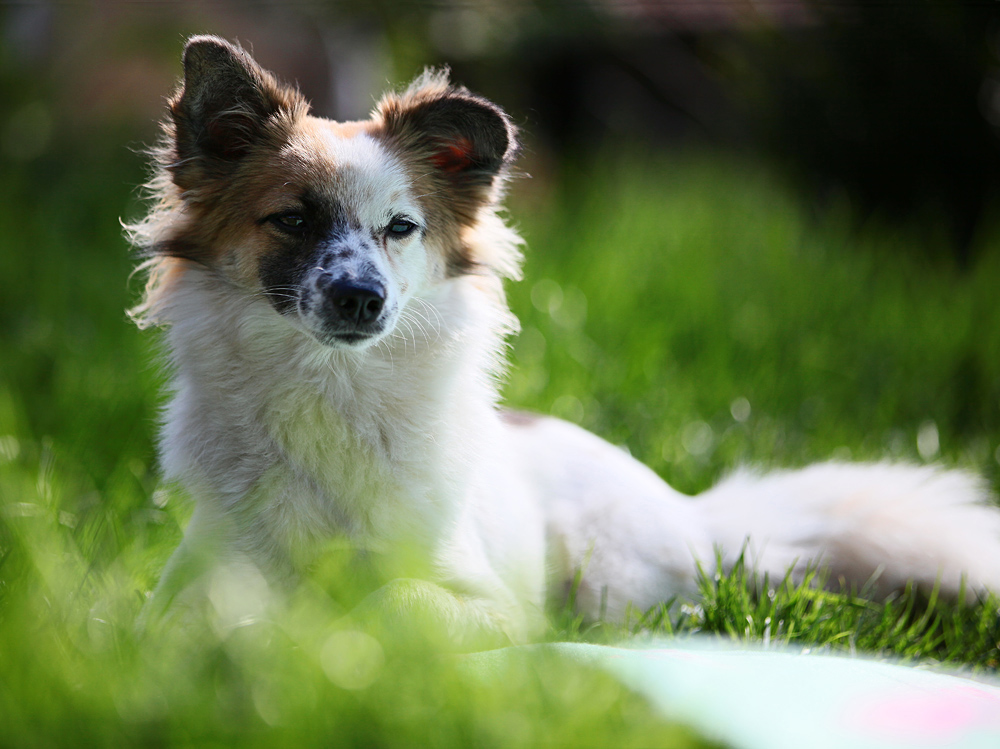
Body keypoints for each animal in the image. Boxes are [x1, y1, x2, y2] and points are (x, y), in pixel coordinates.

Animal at [129, 33, 1000, 644]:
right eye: (293, 219)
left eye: (401, 228)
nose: (362, 298)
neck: (330, 393)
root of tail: (691, 512)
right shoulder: (191, 583)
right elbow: (199, 618)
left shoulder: (492, 605)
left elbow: (399, 598)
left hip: (607, 575)